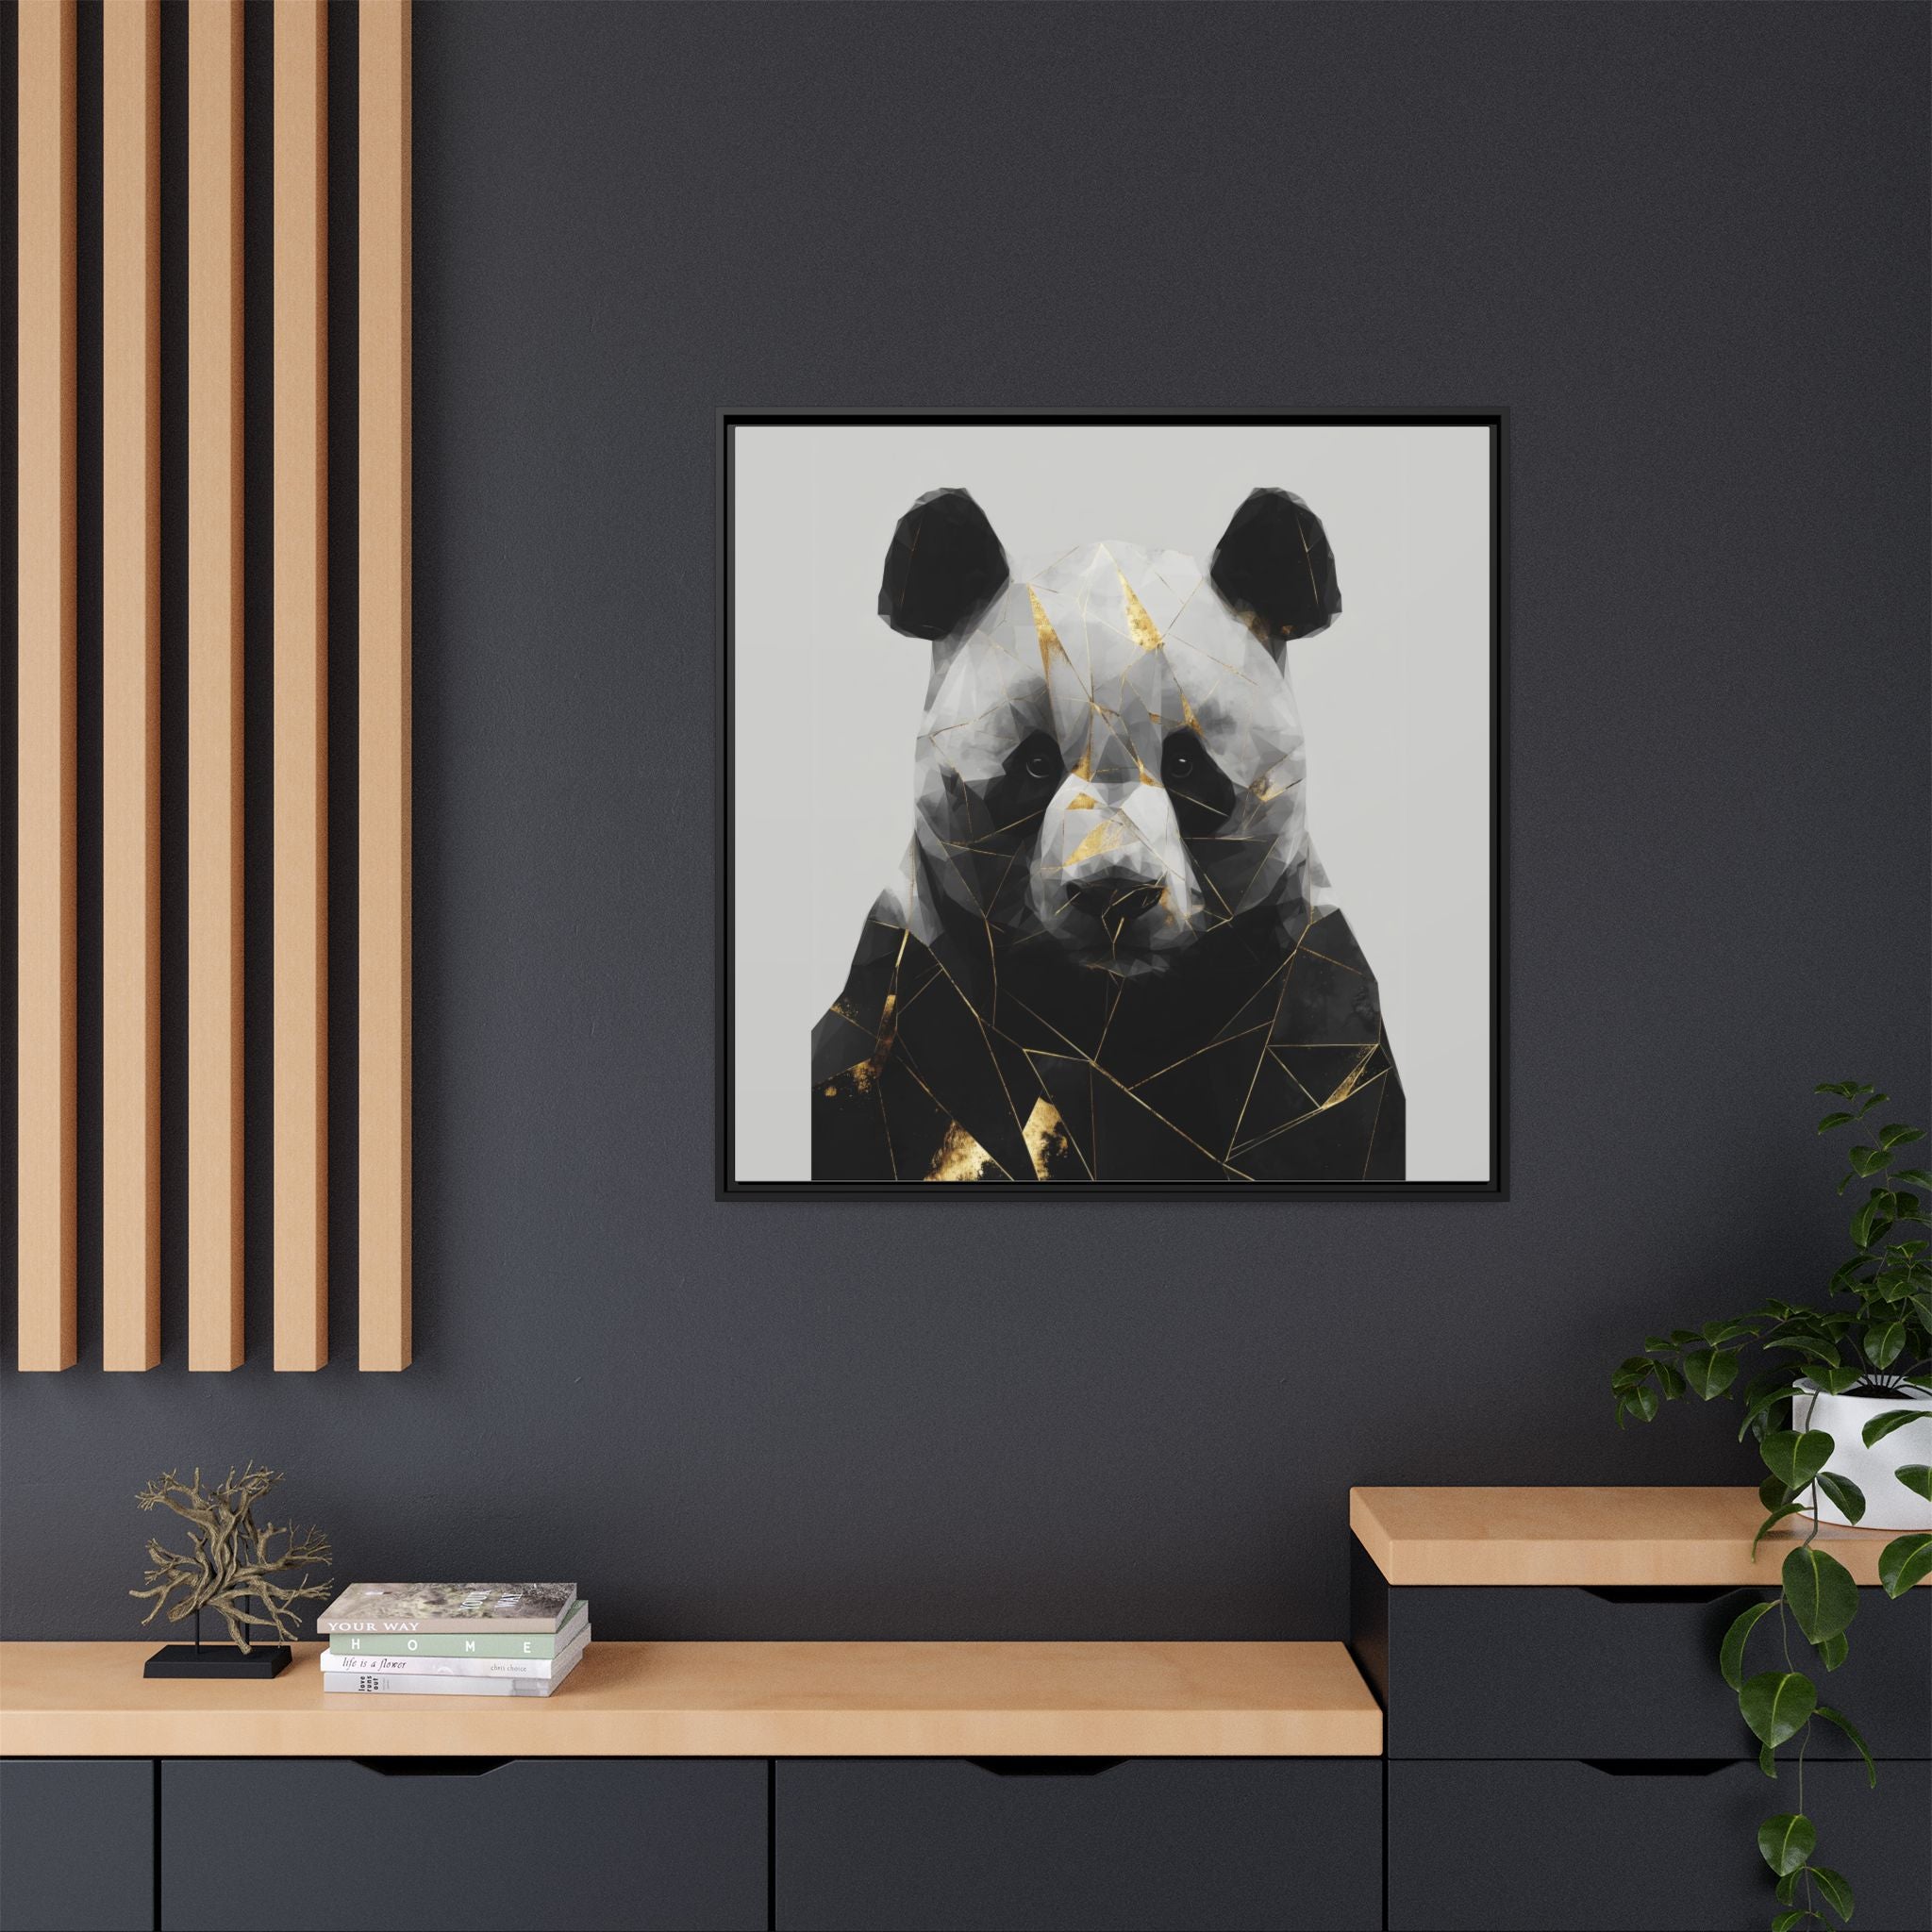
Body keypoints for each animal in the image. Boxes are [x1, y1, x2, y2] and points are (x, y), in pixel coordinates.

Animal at [810, 486, 1404, 1184]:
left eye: (1186, 765)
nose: (1114, 893)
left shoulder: (1307, 1013)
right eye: (1036, 763)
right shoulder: (910, 1005)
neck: (1109, 1018)